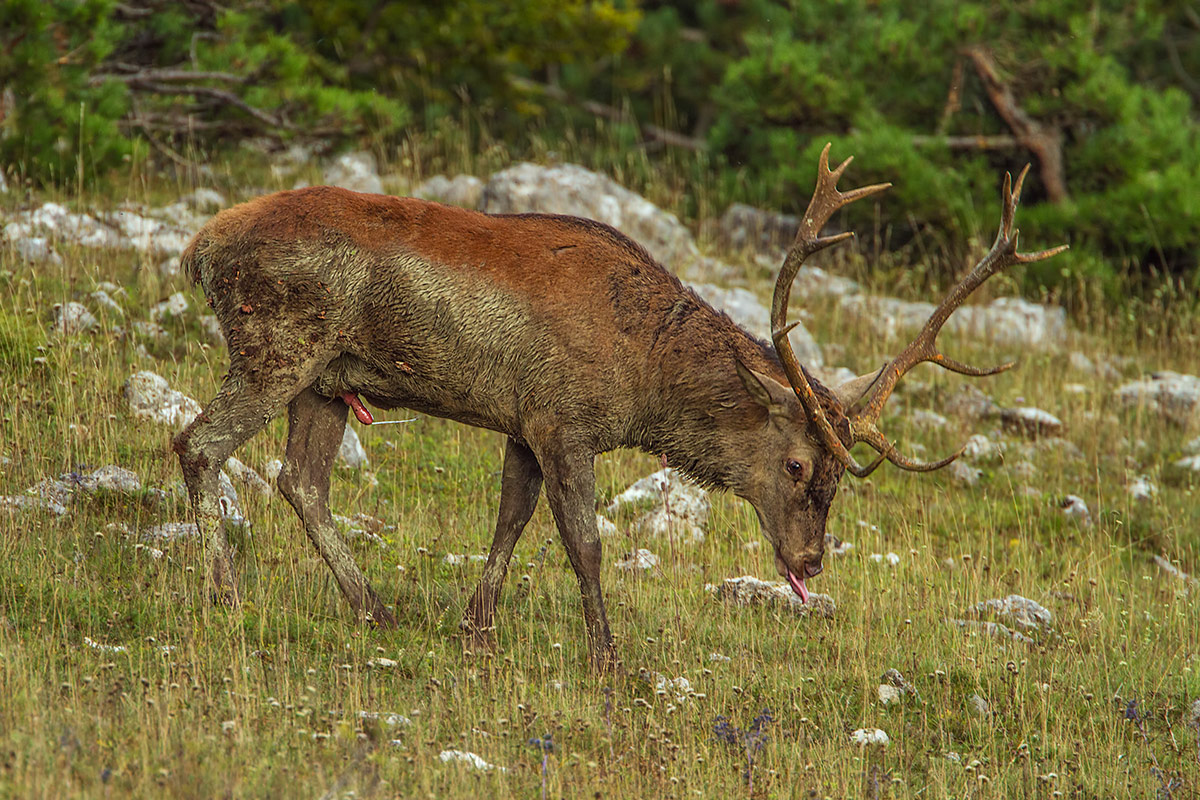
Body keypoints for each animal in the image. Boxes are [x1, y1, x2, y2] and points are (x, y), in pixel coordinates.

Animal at [173, 144, 1065, 671]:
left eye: (839, 482)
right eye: (794, 463)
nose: (810, 563)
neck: (643, 381)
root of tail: (198, 248)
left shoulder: (525, 422)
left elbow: (510, 518)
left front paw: (477, 627)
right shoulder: (565, 420)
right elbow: (586, 543)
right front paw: (606, 654)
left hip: (328, 378)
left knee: (299, 480)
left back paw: (373, 607)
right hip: (276, 344)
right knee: (198, 443)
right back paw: (224, 594)